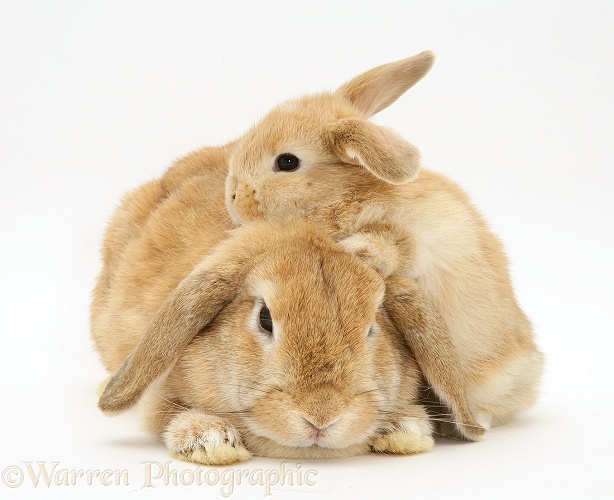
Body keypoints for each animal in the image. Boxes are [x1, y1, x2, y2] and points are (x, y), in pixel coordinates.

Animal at [225, 51, 544, 434]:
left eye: (287, 161)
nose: (231, 196)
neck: (345, 191)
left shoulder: (415, 237)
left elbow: (391, 242)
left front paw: (355, 251)